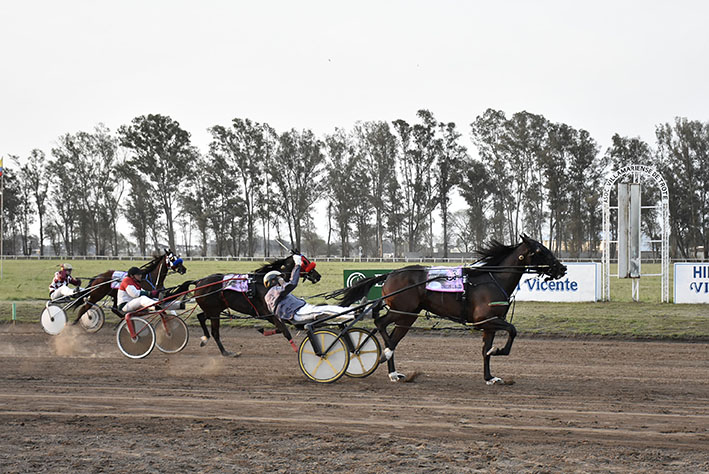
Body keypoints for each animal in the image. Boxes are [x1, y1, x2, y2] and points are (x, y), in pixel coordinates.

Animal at [174, 256, 320, 356]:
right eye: (306, 262)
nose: (318, 276)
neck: (263, 283)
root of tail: (198, 282)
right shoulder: (267, 312)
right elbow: (284, 330)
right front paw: (298, 350)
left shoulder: (271, 313)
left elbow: (282, 327)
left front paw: (261, 329)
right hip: (214, 311)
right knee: (214, 332)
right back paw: (226, 352)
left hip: (215, 309)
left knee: (201, 316)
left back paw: (205, 339)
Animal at [330, 234, 564, 386]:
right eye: (540, 250)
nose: (562, 268)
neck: (493, 279)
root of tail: (390, 274)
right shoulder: (485, 319)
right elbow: (512, 331)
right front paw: (498, 351)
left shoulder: (489, 324)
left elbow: (485, 351)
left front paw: (490, 376)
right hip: (403, 312)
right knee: (380, 323)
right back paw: (384, 353)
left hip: (407, 317)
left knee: (393, 336)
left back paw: (394, 372)